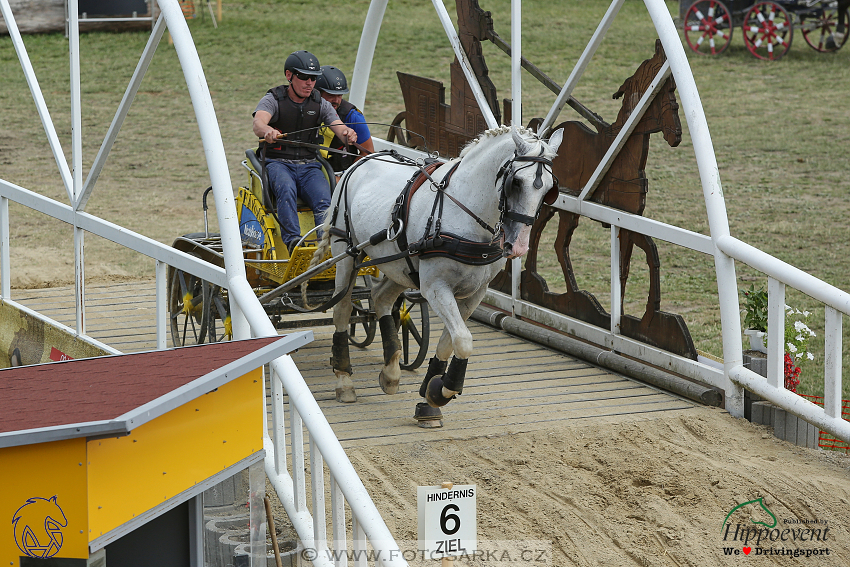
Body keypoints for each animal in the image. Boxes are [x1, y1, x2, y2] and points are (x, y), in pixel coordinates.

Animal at [308, 124, 560, 426]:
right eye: (517, 182)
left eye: (549, 189)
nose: (519, 246)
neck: (463, 211)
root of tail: (362, 159)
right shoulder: (435, 287)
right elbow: (463, 340)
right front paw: (442, 391)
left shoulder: (475, 293)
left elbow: (449, 342)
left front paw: (430, 395)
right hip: (346, 254)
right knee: (343, 309)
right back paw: (344, 379)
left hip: (399, 265)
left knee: (380, 298)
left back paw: (391, 372)